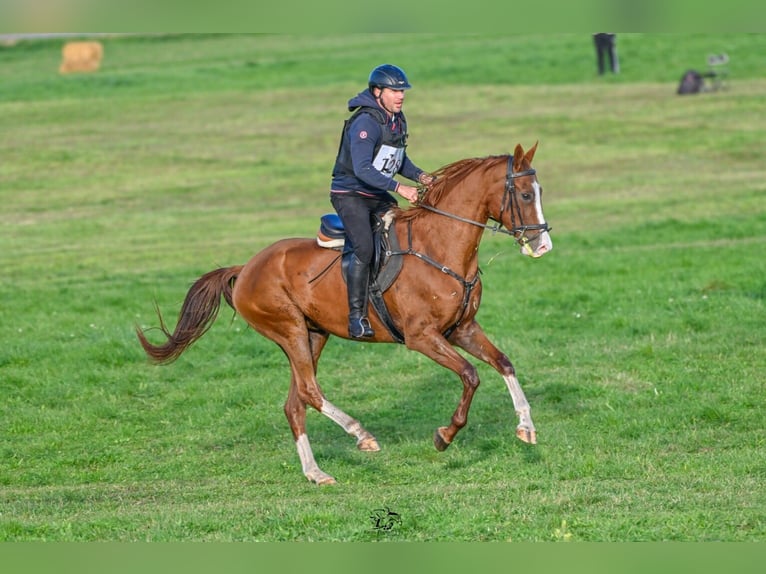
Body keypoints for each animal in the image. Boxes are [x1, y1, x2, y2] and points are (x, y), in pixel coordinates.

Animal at [138, 144, 556, 486]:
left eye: (538, 192)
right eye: (523, 194)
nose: (543, 244)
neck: (440, 246)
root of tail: (245, 268)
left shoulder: (462, 329)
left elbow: (504, 364)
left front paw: (526, 427)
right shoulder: (422, 337)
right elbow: (470, 376)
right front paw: (445, 436)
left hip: (314, 334)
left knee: (295, 403)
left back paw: (316, 473)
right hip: (289, 329)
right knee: (310, 392)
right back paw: (361, 435)